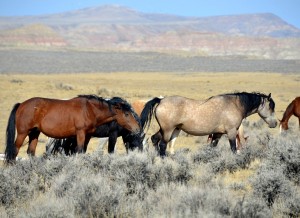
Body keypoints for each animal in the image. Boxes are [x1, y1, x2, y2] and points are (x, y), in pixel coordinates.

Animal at [4, 94, 141, 163]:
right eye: (127, 114)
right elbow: (79, 151)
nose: (137, 128)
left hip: (34, 133)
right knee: (14, 151)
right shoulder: (80, 134)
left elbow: (82, 151)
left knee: (30, 152)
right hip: (23, 133)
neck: (89, 109)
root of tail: (21, 104)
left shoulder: (87, 135)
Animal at [141, 91, 276, 155]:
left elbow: (212, 147)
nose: (274, 123)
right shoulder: (231, 132)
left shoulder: (218, 134)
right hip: (168, 130)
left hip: (169, 129)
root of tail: (161, 100)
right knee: (162, 145)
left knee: (154, 139)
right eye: (271, 107)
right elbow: (233, 148)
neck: (234, 105)